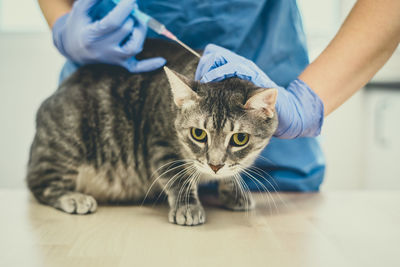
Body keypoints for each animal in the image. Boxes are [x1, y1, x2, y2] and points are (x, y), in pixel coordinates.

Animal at [25, 38, 278, 226]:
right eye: (198, 134)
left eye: (239, 139)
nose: (215, 166)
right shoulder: (160, 145)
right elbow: (178, 177)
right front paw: (188, 206)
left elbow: (233, 172)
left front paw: (234, 191)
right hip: (67, 141)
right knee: (39, 183)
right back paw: (73, 197)